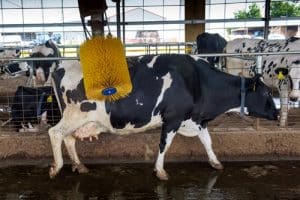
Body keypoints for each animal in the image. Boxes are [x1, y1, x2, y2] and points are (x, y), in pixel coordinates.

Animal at [48, 54, 278, 180]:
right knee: (55, 133)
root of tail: (61, 65)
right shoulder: (173, 118)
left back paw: (79, 165)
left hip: (78, 118)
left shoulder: (196, 119)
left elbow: (208, 142)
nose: (276, 113)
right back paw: (56, 168)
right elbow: (164, 145)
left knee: (68, 138)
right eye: (267, 93)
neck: (199, 81)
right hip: (75, 113)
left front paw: (216, 163)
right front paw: (160, 171)